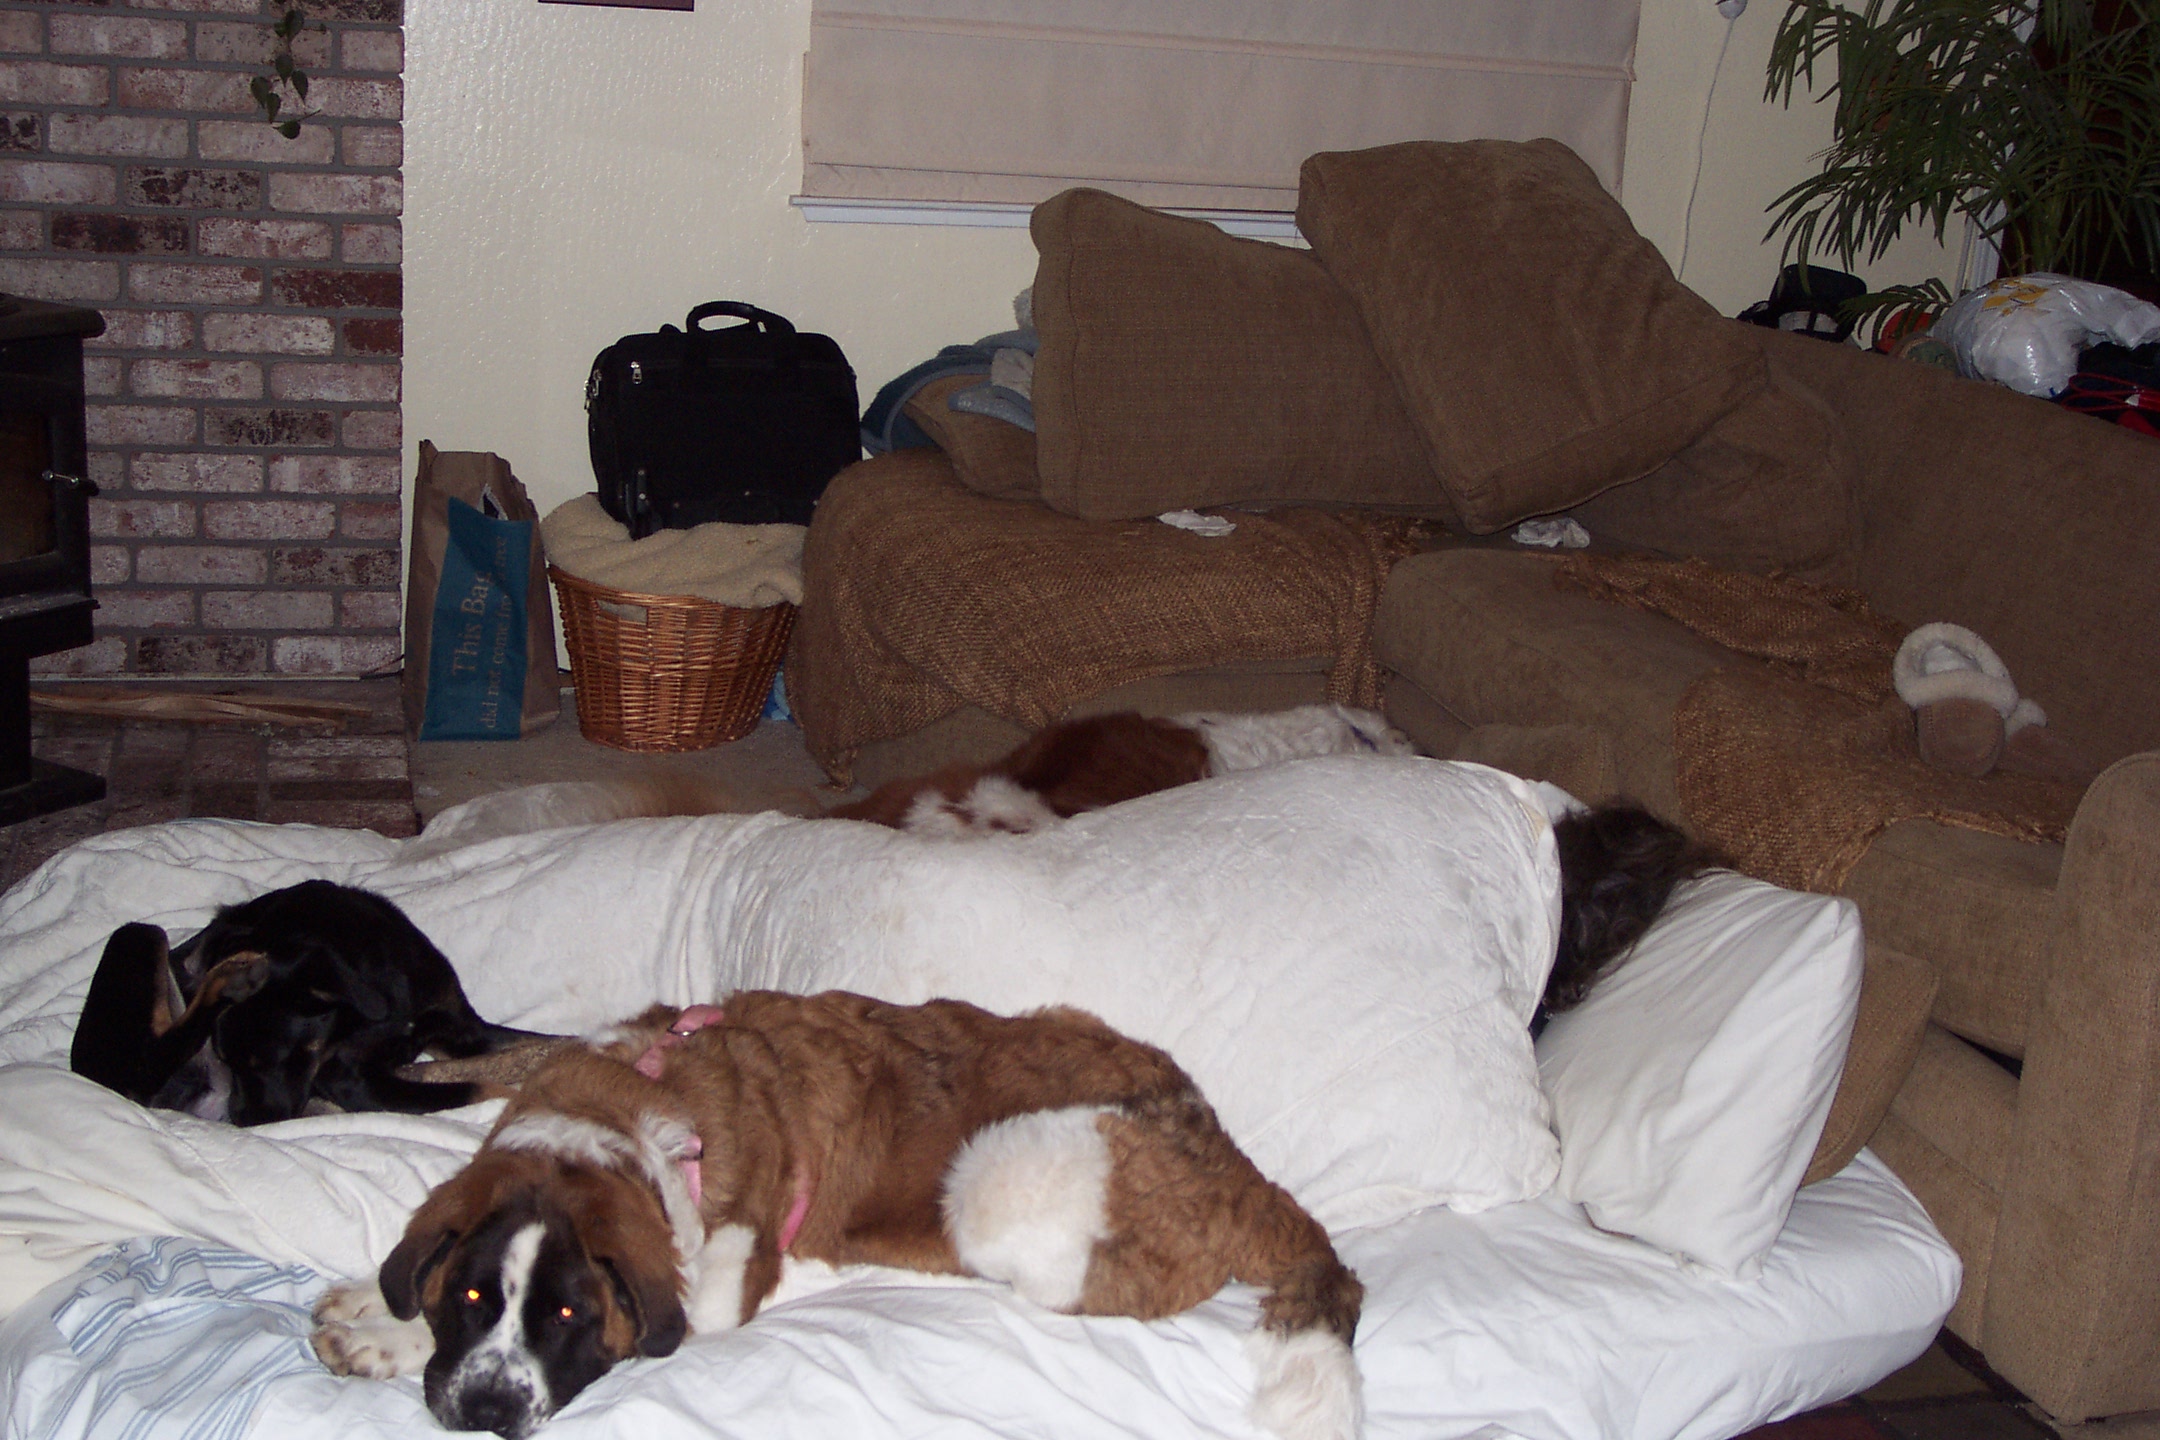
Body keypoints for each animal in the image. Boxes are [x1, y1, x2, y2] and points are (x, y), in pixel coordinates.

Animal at [70, 879, 543, 1126]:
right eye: (228, 1061)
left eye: (269, 1061)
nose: (245, 1120)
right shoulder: (351, 1079)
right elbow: (487, 1088)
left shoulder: (462, 1030)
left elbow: (537, 1046)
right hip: (137, 936)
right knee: (150, 1057)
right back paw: (230, 976)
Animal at [311, 991, 1366, 1440]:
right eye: (473, 1297)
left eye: (569, 1315)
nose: (488, 1409)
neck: (636, 1111)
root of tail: (1243, 1170)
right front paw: (378, 1305)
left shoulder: (712, 1287)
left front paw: (387, 1341)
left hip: (991, 1178)